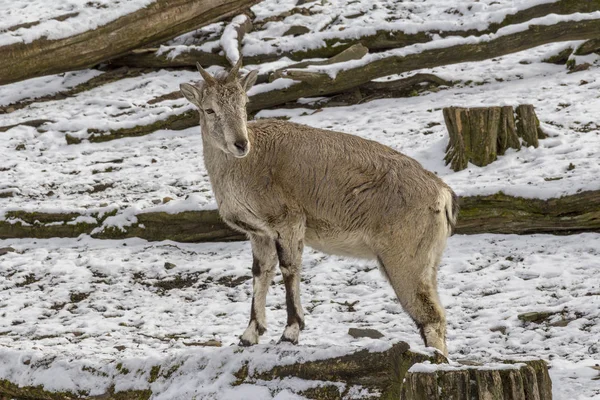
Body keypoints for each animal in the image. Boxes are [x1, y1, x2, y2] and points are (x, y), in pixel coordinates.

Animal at [180, 58, 458, 354]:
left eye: (244, 104)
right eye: (209, 109)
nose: (240, 144)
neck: (248, 165)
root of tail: (442, 194)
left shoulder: (288, 222)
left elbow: (289, 268)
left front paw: (290, 333)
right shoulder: (259, 233)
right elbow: (260, 272)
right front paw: (249, 335)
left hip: (405, 258)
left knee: (431, 317)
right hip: (427, 262)